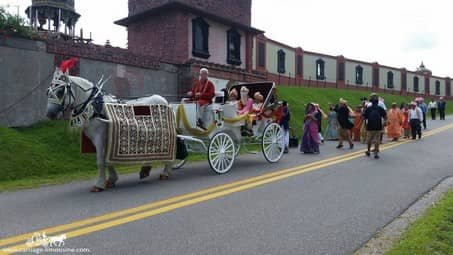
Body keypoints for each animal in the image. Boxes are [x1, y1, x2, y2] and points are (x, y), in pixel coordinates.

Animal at [45, 67, 173, 191]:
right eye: (48, 92)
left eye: (60, 91)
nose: (50, 114)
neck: (94, 106)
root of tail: (165, 101)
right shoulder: (104, 138)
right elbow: (107, 159)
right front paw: (111, 179)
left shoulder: (99, 136)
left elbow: (101, 160)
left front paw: (99, 184)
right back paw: (146, 169)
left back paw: (165, 172)